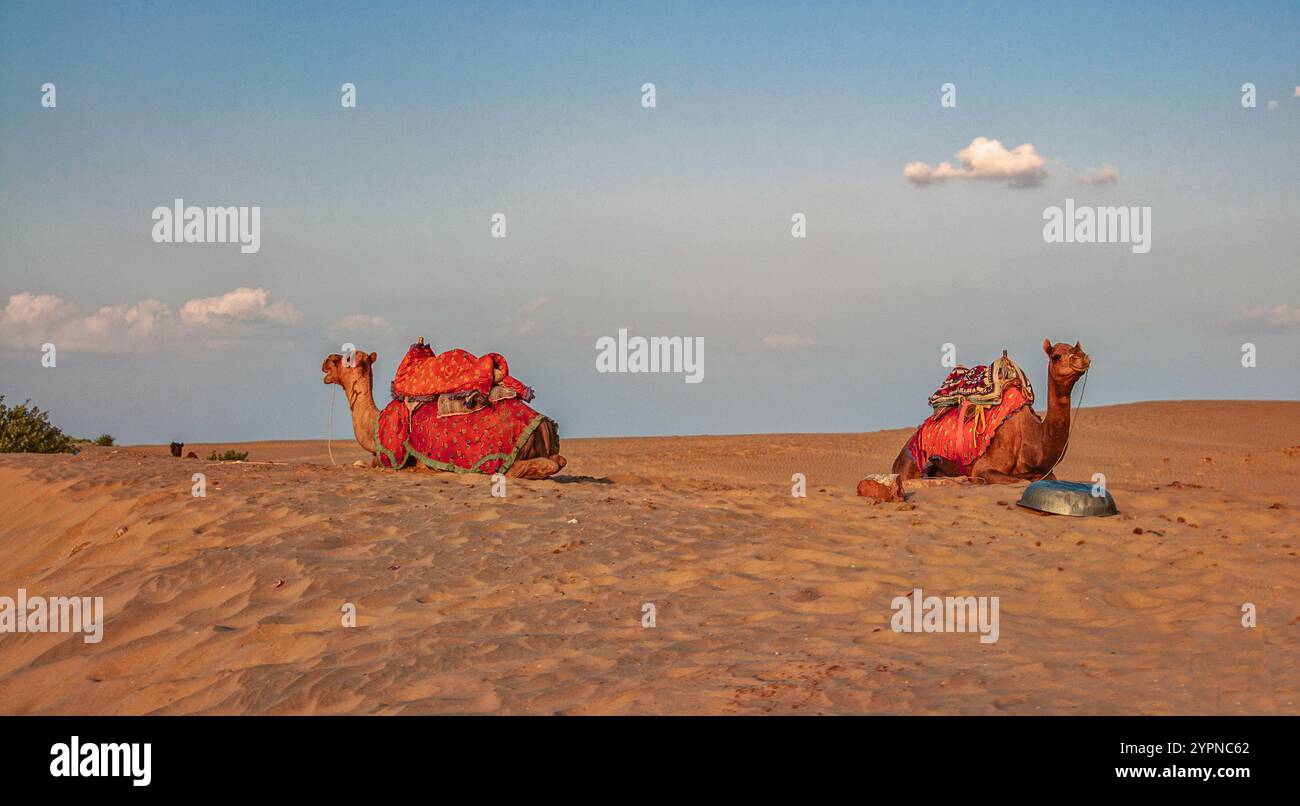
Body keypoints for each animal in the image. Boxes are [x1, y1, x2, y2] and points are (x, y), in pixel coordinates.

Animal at [321, 349, 566, 480]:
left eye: (342, 359)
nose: (325, 362)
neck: (374, 422)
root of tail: (543, 424)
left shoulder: (390, 457)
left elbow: (360, 463)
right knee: (559, 460)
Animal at [892, 339, 1091, 484]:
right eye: (1056, 356)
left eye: (1078, 348)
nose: (1082, 357)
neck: (1031, 436)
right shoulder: (984, 467)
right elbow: (1020, 482)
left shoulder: (1043, 472)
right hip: (908, 464)